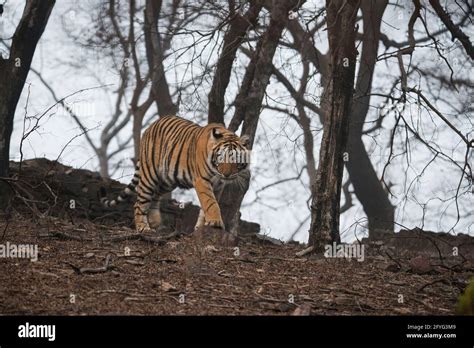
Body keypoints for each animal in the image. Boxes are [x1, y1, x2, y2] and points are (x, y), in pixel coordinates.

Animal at [98, 115, 250, 234]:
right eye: (221, 157)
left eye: (235, 159)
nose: (226, 175)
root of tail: (150, 127)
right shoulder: (202, 180)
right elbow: (210, 203)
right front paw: (215, 222)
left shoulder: (217, 186)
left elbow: (207, 206)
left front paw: (201, 227)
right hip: (149, 175)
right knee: (139, 203)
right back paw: (143, 228)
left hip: (168, 181)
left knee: (155, 196)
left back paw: (155, 222)